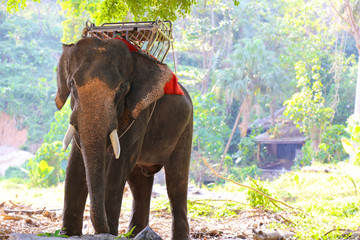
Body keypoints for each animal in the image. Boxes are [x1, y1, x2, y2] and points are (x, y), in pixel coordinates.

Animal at [54, 36, 193, 240]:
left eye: (122, 89)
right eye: (72, 84)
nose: (100, 230)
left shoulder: (139, 112)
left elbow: (118, 165)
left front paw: (109, 233)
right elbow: (75, 163)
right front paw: (68, 234)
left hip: (185, 128)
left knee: (176, 181)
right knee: (139, 184)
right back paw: (135, 233)